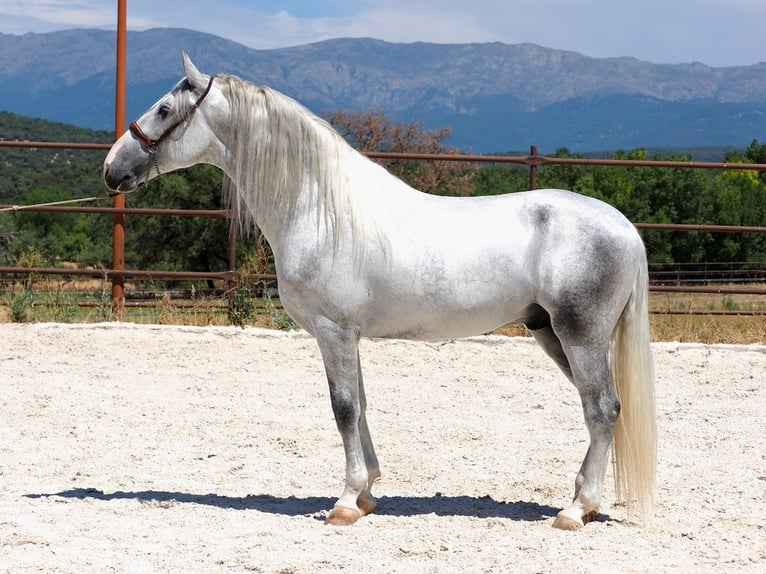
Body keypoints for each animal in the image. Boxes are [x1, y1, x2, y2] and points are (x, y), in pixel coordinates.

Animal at [104, 53, 656, 530]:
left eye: (165, 109)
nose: (112, 168)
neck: (319, 208)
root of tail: (624, 228)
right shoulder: (348, 336)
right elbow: (362, 404)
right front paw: (368, 492)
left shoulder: (333, 331)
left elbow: (344, 408)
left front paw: (346, 502)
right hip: (551, 333)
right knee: (601, 410)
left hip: (580, 336)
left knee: (602, 409)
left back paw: (575, 510)